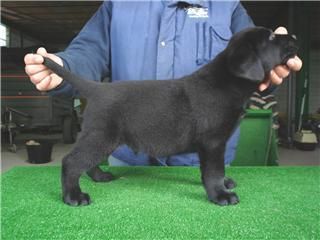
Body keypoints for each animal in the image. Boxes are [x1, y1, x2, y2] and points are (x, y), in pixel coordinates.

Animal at [42, 26, 298, 206]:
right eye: (271, 38)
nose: (294, 36)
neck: (228, 82)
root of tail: (96, 88)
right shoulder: (213, 142)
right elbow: (214, 171)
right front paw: (221, 195)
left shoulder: (210, 146)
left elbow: (211, 170)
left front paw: (223, 185)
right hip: (101, 136)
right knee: (71, 162)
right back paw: (73, 196)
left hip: (103, 138)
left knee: (88, 161)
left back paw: (100, 176)